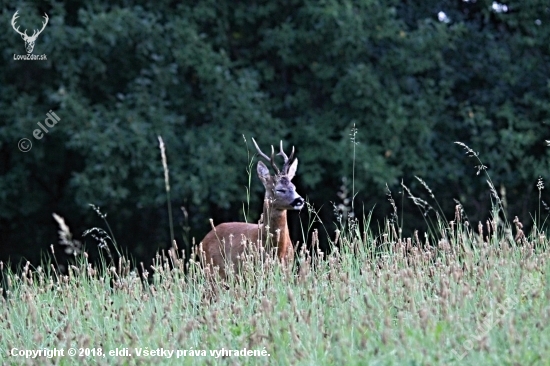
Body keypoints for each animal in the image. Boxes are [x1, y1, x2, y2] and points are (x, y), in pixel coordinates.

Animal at [203, 139, 306, 278]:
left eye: (294, 187)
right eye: (280, 189)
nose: (299, 200)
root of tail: (203, 241)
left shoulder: (287, 268)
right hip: (213, 269)